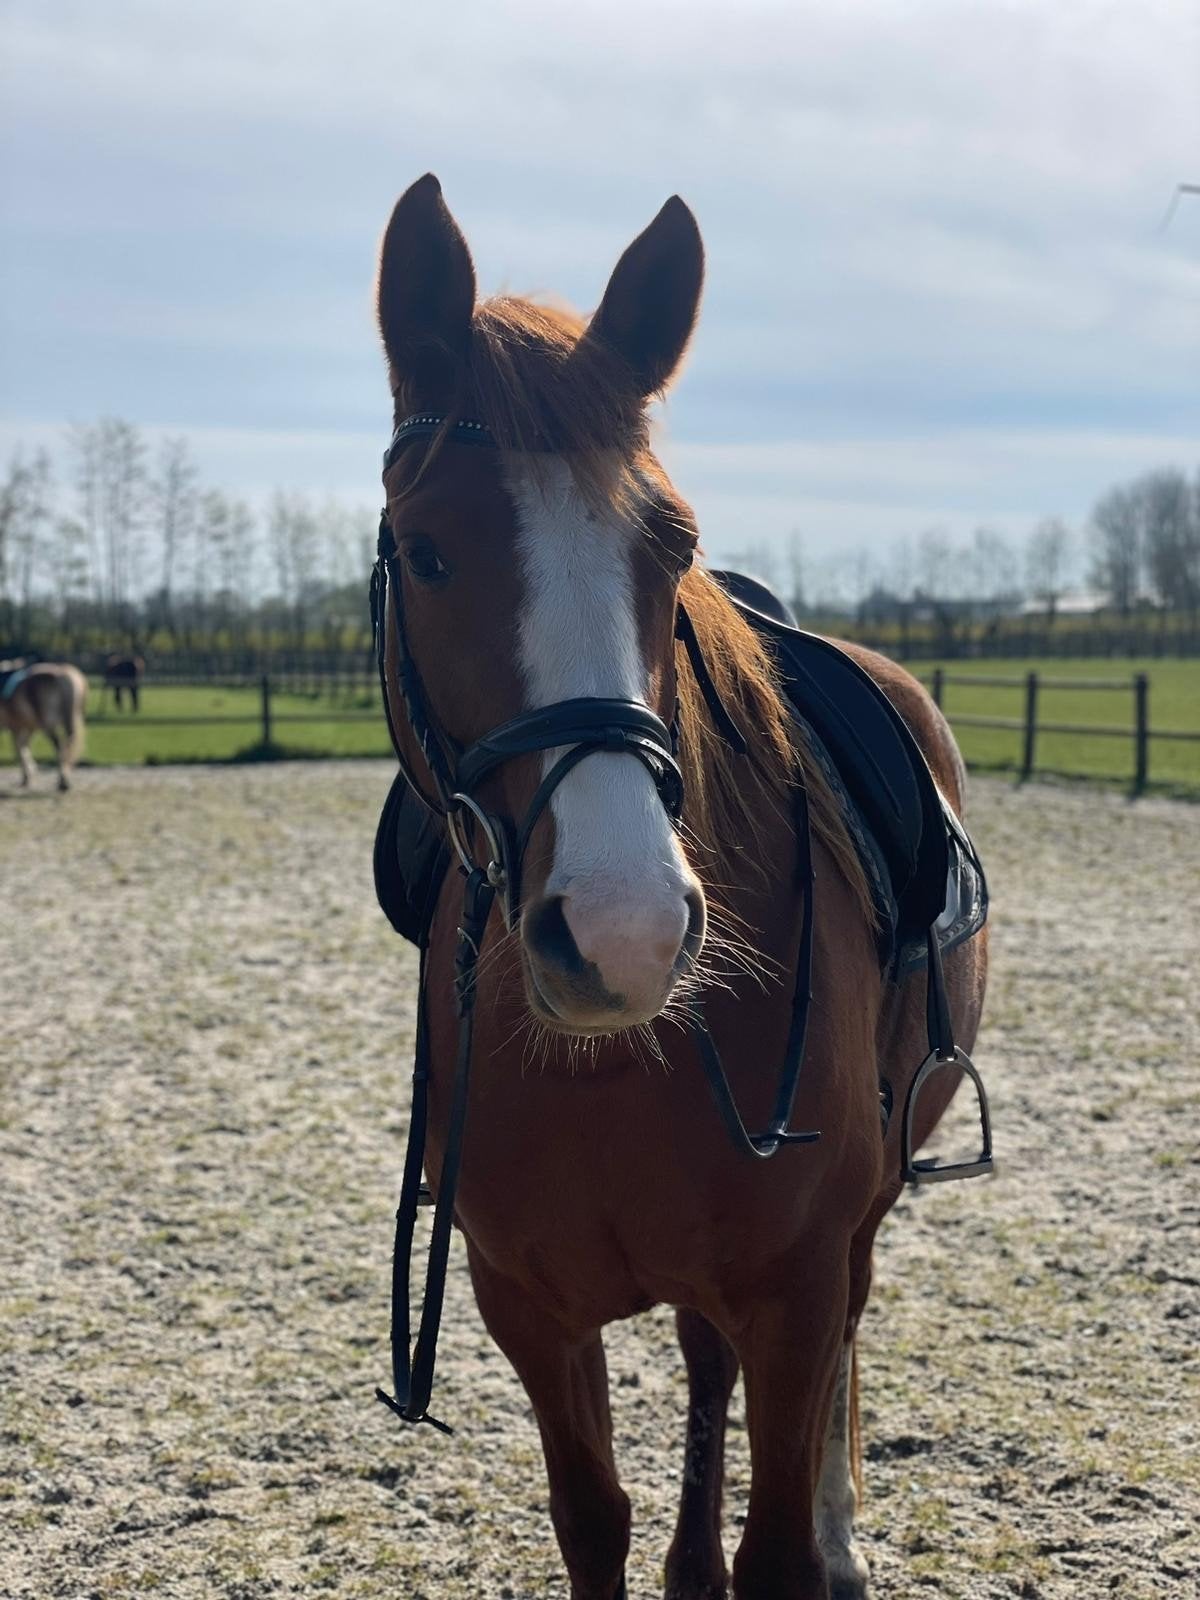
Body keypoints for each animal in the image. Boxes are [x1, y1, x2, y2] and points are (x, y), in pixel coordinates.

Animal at [0, 659, 88, 791]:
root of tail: (62, 674)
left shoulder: (15, 726)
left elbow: (19, 750)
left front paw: (27, 776)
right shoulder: (26, 726)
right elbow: (23, 747)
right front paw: (29, 775)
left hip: (48, 724)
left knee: (59, 746)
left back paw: (63, 781)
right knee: (67, 744)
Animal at [371, 174, 989, 1600]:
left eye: (676, 545)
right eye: (425, 552)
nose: (626, 936)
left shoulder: (797, 1288)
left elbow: (781, 1539)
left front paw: (806, 1543)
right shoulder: (526, 1304)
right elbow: (592, 1520)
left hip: (861, 1220)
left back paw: (839, 1533)